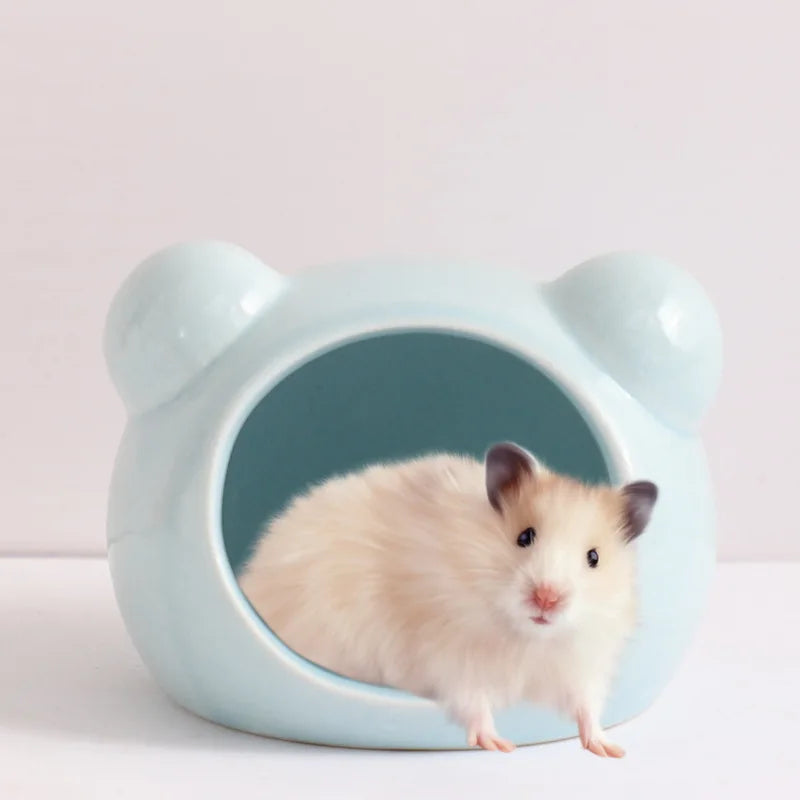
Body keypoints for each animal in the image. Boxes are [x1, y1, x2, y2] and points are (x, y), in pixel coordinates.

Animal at [238, 442, 657, 757]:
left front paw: (609, 749)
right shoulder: (451, 656)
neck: (525, 636)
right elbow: (473, 700)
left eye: (594, 558)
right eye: (524, 536)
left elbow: (586, 706)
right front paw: (499, 745)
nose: (546, 598)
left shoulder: (580, 663)